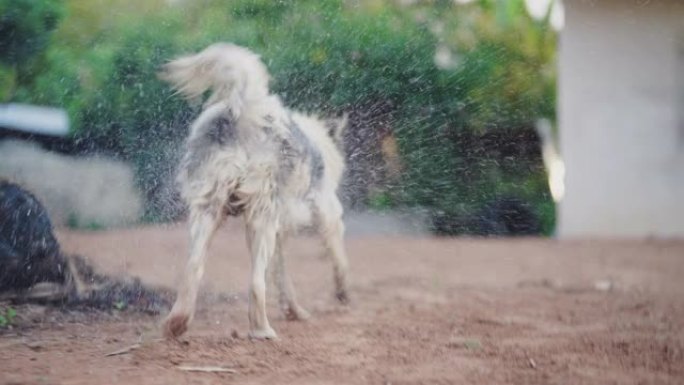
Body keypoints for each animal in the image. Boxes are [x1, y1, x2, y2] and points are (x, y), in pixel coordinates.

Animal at [158, 42, 350, 340]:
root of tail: (245, 109)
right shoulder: (327, 212)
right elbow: (338, 257)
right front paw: (342, 293)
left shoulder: (280, 231)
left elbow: (282, 276)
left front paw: (294, 310)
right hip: (261, 217)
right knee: (255, 283)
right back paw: (262, 330)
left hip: (208, 210)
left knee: (193, 268)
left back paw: (176, 323)